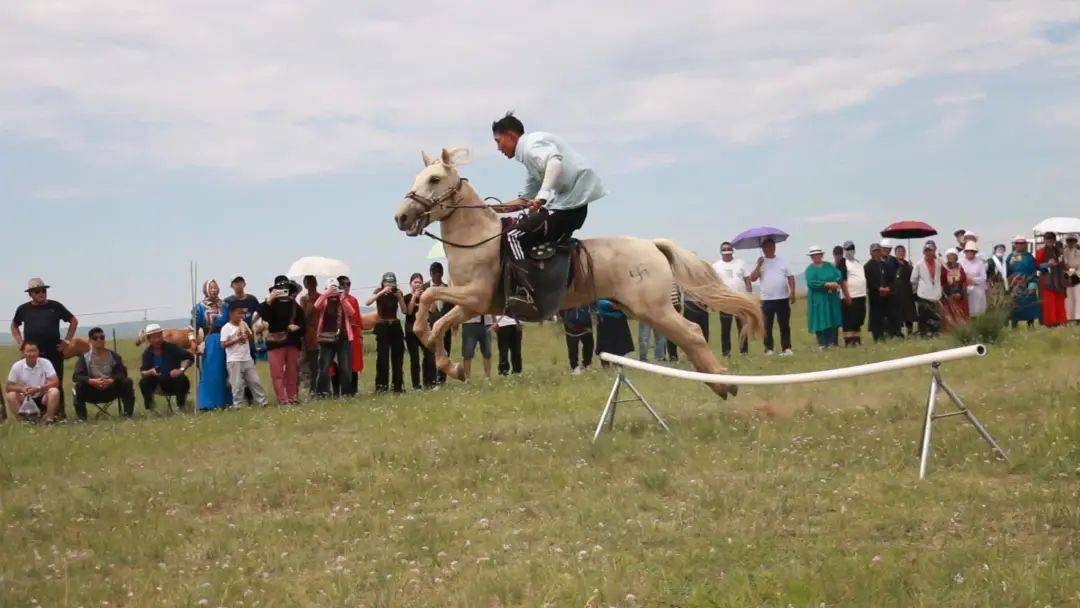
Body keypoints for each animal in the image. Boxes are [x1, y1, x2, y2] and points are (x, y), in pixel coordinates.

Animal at [393, 148, 763, 399]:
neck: (476, 239)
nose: (401, 217)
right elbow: (435, 322)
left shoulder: (474, 295)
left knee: (692, 333)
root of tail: (652, 245)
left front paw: (444, 359)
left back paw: (723, 382)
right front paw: (451, 366)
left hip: (654, 308)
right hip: (647, 311)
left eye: (434, 179)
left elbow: (428, 297)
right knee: (686, 336)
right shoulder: (471, 305)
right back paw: (717, 383)